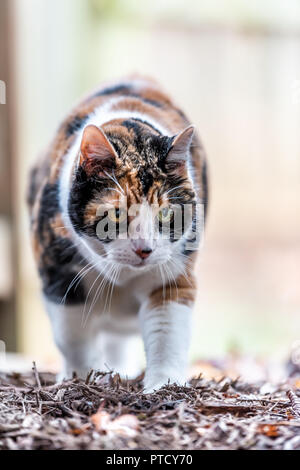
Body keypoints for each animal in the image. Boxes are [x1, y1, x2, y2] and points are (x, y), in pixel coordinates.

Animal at [28, 77, 207, 392]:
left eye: (166, 213)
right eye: (116, 214)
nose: (144, 249)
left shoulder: (175, 274)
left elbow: (167, 333)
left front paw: (164, 385)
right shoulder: (59, 274)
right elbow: (73, 337)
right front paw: (80, 379)